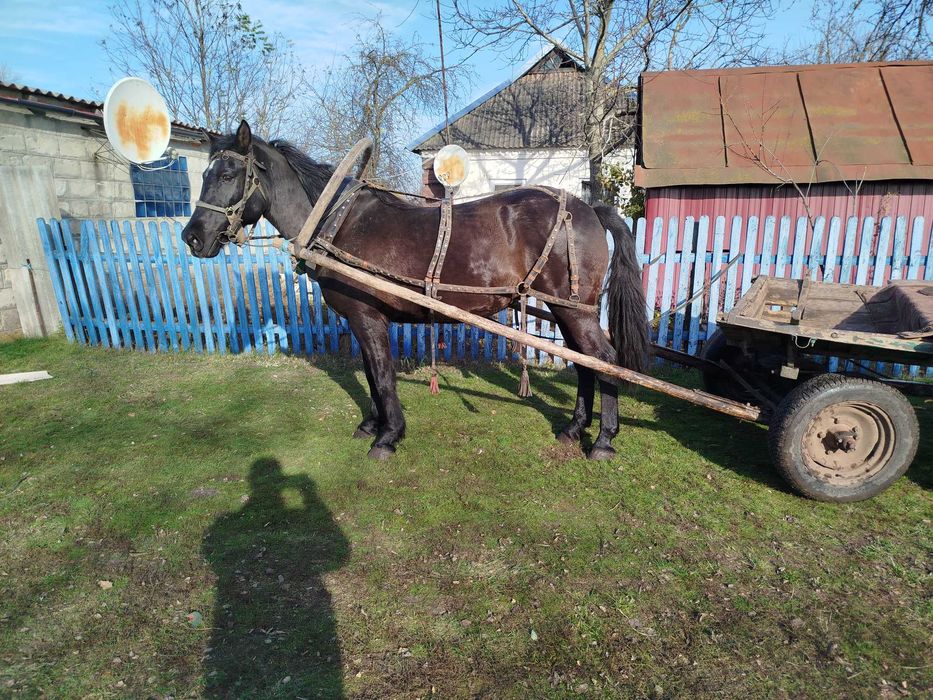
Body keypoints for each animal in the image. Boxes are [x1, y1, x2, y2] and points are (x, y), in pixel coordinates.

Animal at [182, 120, 649, 460]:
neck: (336, 223)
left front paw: (388, 437)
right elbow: (371, 375)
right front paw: (371, 425)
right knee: (585, 363)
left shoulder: (367, 317)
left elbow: (383, 376)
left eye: (228, 173)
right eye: (204, 173)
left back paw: (603, 441)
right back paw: (573, 429)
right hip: (567, 308)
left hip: (576, 309)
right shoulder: (362, 320)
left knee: (604, 360)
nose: (191, 238)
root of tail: (590, 207)